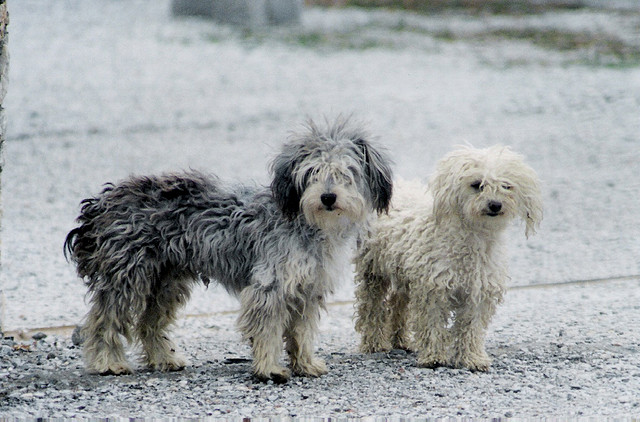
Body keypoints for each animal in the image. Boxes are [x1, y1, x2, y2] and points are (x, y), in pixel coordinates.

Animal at [66, 118, 396, 382]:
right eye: (312, 172)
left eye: (347, 173)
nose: (328, 197)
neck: (307, 224)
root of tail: (102, 203)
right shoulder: (269, 287)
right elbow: (267, 331)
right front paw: (269, 369)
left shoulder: (306, 288)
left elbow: (301, 332)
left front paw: (305, 364)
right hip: (127, 277)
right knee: (103, 321)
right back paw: (108, 363)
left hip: (166, 282)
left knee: (149, 323)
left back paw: (164, 358)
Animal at [352, 147, 544, 370]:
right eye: (477, 184)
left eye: (506, 186)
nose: (495, 204)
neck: (472, 238)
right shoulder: (433, 287)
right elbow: (432, 322)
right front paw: (434, 357)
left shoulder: (477, 292)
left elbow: (471, 327)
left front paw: (472, 358)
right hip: (373, 270)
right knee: (372, 306)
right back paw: (374, 343)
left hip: (404, 273)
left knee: (398, 303)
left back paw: (401, 340)